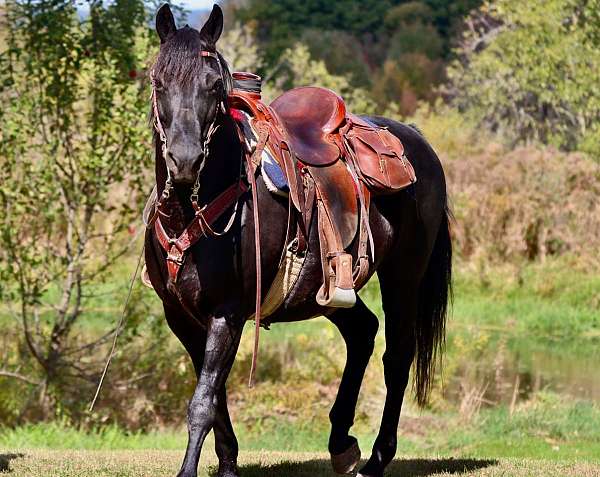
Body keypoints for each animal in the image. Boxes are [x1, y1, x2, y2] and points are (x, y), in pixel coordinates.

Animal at [145, 4, 452, 476]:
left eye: (214, 85)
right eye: (159, 81)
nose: (185, 160)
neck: (195, 211)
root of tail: (417, 141)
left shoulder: (227, 313)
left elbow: (202, 401)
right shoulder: (180, 316)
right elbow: (214, 398)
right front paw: (228, 465)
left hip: (404, 277)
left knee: (397, 357)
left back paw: (377, 458)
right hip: (328, 290)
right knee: (363, 332)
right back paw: (342, 444)